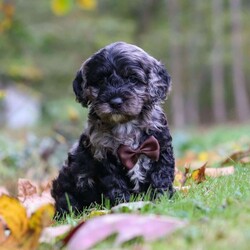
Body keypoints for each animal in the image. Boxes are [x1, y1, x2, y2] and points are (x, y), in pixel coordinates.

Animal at [51, 41, 175, 215]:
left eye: (132, 79)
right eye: (101, 81)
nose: (115, 102)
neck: (126, 125)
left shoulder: (160, 148)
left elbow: (161, 176)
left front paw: (162, 199)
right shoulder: (104, 156)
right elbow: (115, 184)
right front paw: (122, 205)